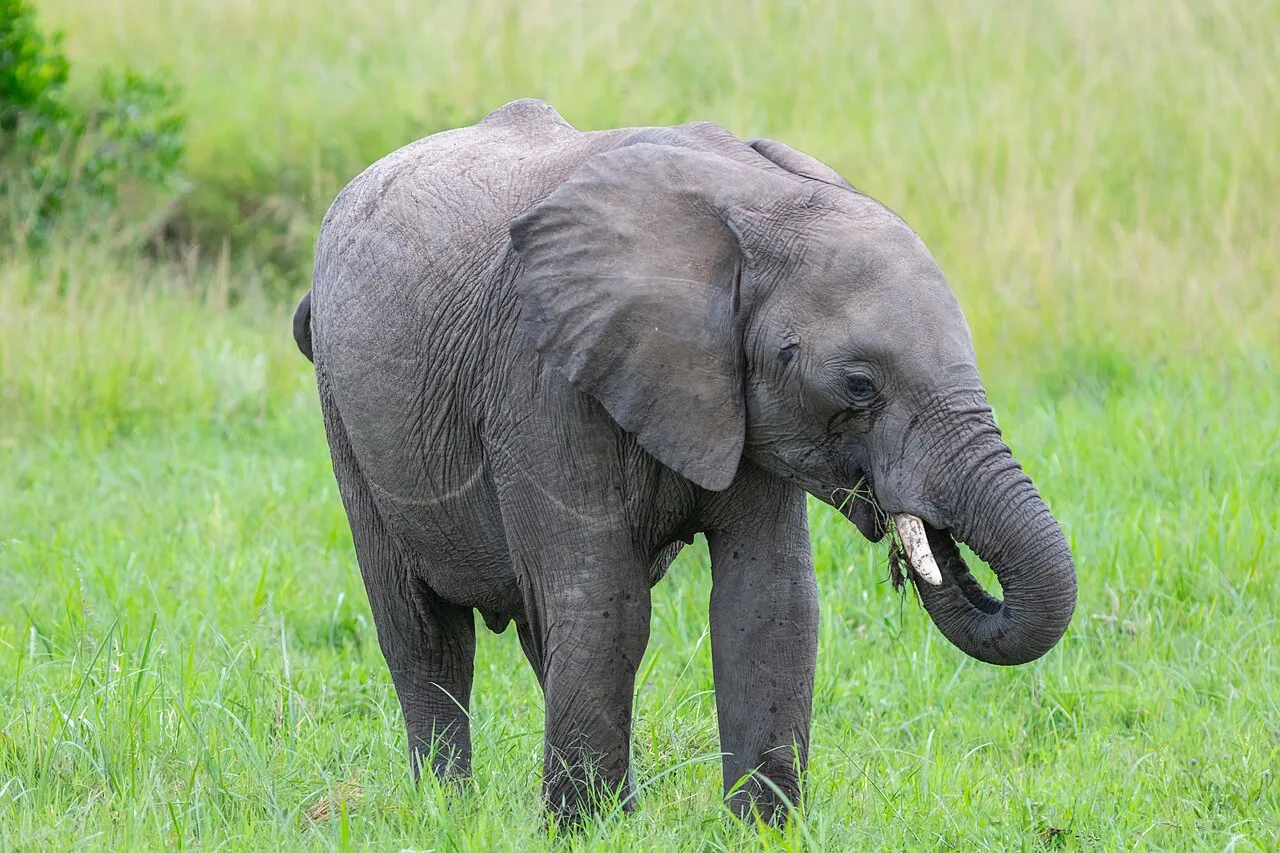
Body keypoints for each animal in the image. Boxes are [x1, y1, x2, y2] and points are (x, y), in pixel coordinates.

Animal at [292, 98, 1076, 824]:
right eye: (859, 385)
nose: (914, 533)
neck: (752, 202)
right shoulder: (542, 376)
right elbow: (602, 602)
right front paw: (585, 830)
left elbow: (770, 601)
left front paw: (761, 827)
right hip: (345, 415)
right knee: (424, 633)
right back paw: (447, 810)